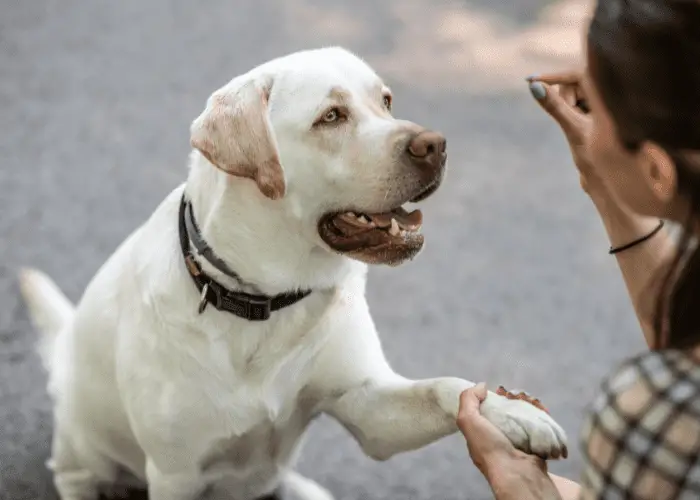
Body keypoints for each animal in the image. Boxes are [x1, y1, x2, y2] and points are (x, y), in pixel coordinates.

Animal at [17, 47, 568, 500]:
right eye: (331, 116)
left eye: (386, 101)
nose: (435, 145)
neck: (267, 299)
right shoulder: (176, 473)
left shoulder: (368, 407)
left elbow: (446, 387)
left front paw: (515, 414)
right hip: (81, 447)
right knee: (75, 475)